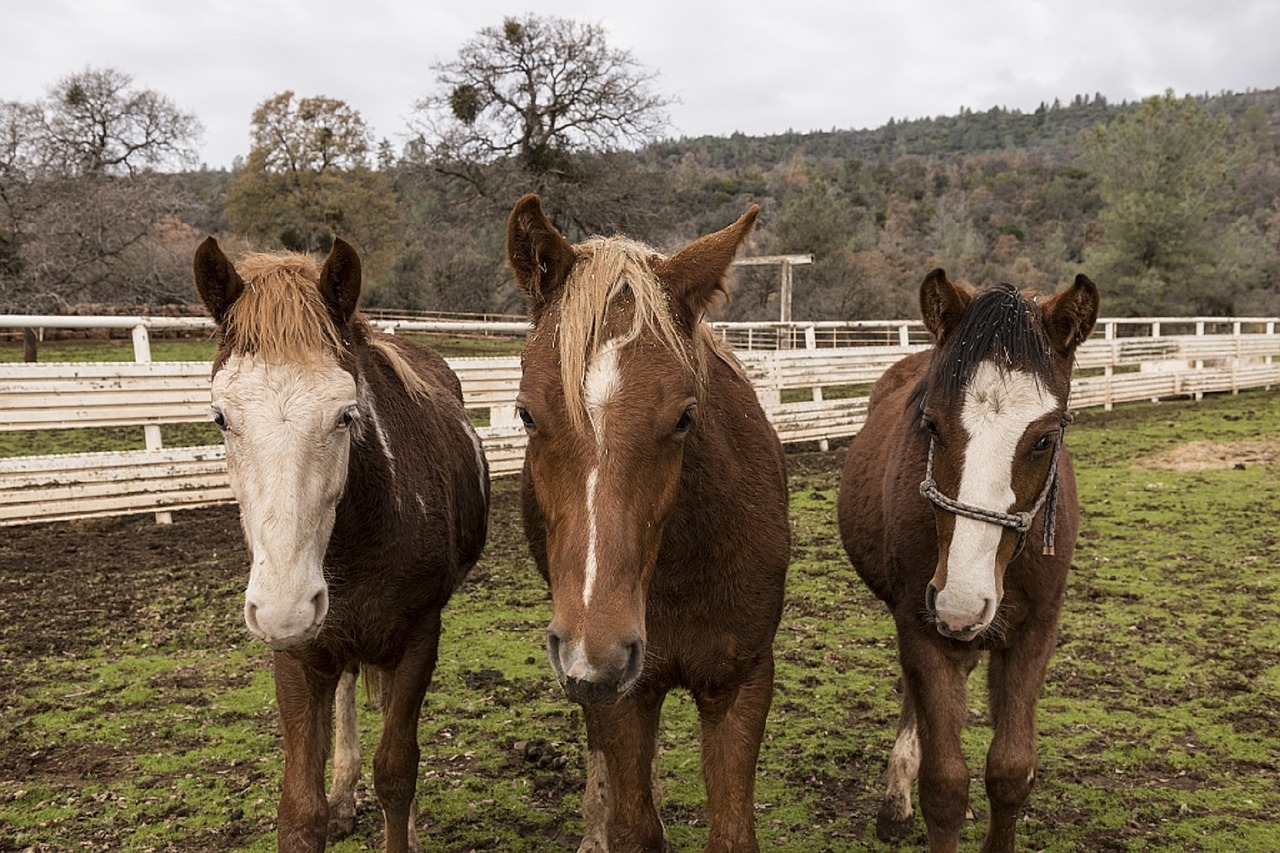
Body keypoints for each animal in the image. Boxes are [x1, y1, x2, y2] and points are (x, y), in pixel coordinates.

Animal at [501, 195, 783, 845]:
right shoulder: (620, 698)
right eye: (526, 414)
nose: (598, 651)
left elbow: (731, 831)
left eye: (683, 417)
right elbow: (633, 823)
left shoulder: (741, 684)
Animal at [839, 267, 1100, 850]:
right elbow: (945, 786)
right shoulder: (921, 625)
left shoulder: (1036, 630)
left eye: (1044, 439)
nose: (961, 600)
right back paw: (896, 797)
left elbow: (1010, 772)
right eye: (931, 425)